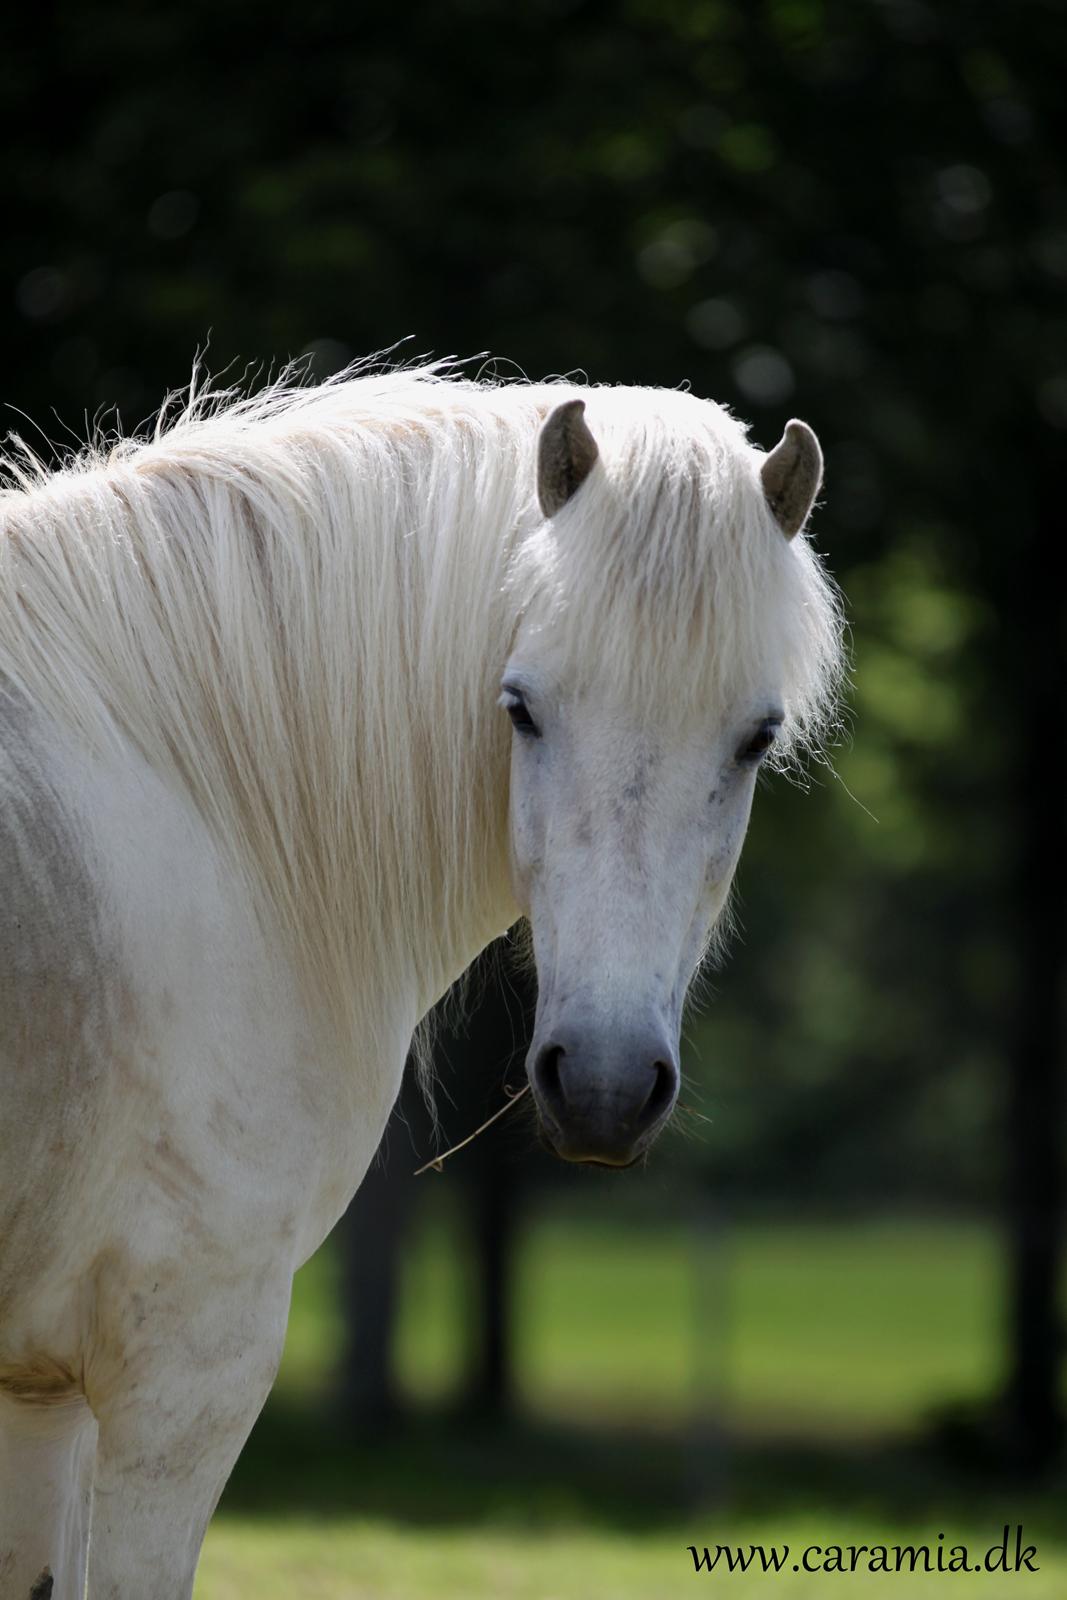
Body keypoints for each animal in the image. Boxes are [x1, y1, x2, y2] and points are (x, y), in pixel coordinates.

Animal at [0, 368, 844, 1593]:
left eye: (755, 738)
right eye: (521, 706)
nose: (601, 1086)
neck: (200, 803)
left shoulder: (43, 1394)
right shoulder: (184, 1370)